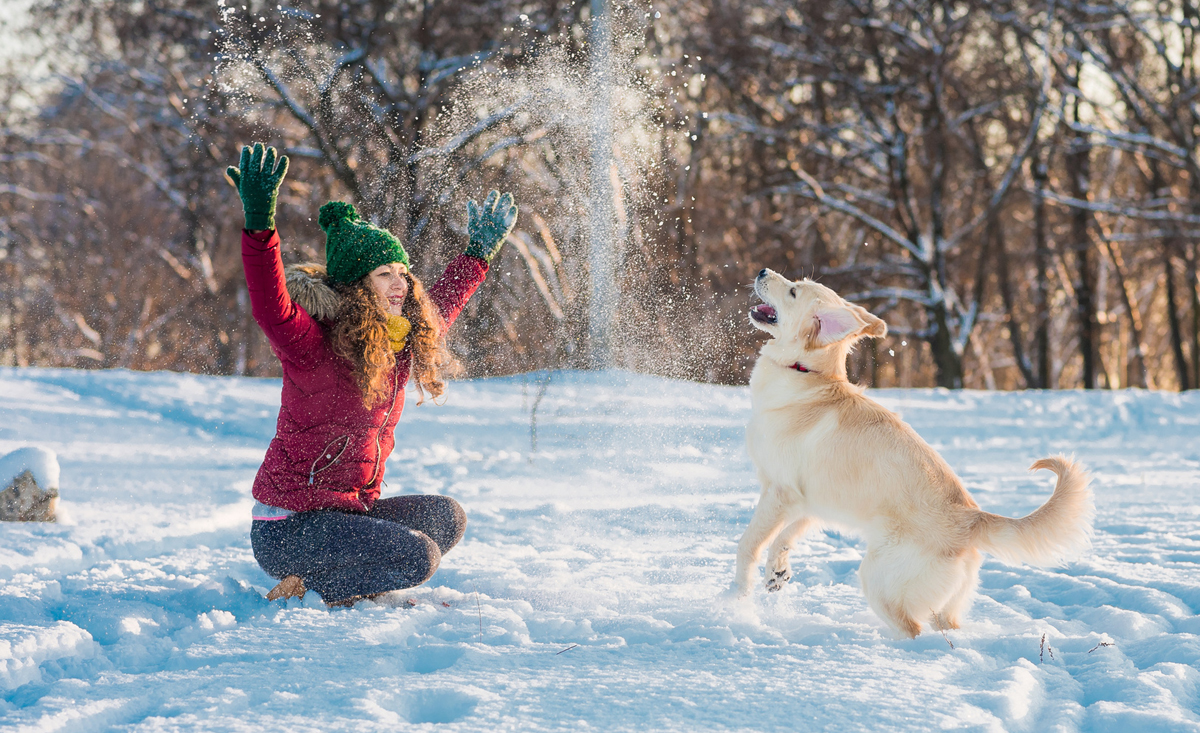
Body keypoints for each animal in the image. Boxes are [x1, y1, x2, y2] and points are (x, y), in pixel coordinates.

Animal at [729, 269, 1099, 638]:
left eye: (793, 291)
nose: (762, 271)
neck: (807, 374)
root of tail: (971, 519)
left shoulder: (779, 493)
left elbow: (748, 545)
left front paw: (738, 600)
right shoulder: (810, 501)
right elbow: (786, 536)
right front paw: (776, 572)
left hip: (878, 579)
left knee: (912, 630)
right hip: (945, 606)